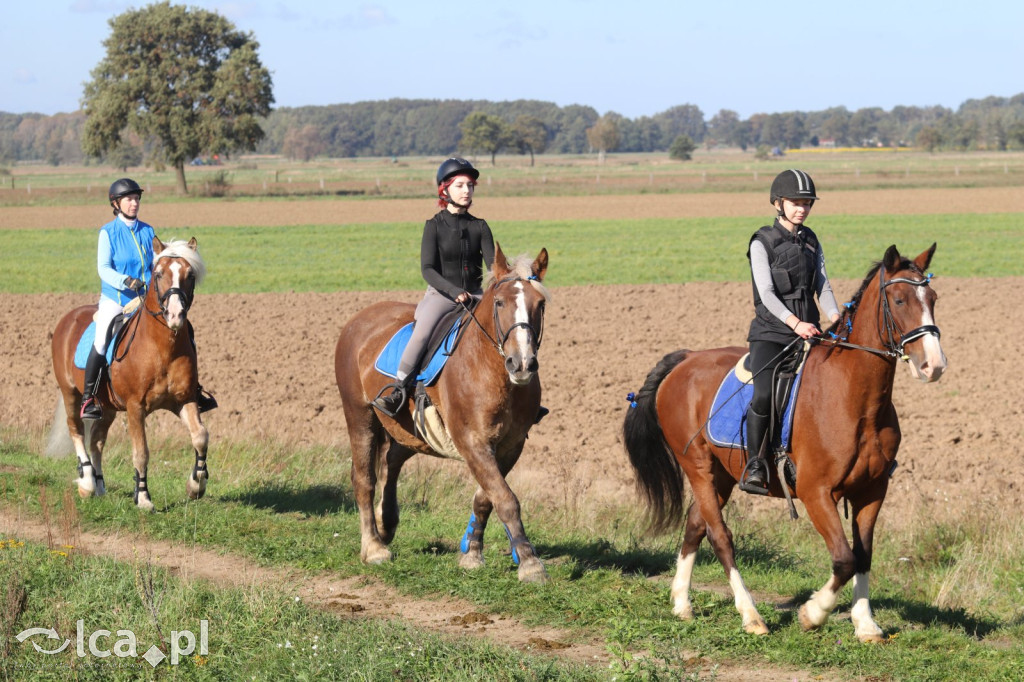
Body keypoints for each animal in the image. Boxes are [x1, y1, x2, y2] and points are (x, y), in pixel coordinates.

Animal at [52, 238, 212, 509]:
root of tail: (68, 318)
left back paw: (99, 484)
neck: (162, 347)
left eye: (190, 275)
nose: (175, 315)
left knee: (96, 440)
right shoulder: (135, 407)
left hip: (107, 406)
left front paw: (196, 485)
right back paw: (87, 483)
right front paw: (144, 497)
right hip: (70, 393)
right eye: (158, 274)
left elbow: (200, 436)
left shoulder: (184, 399)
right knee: (76, 430)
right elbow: (141, 452)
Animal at [337, 241, 552, 581]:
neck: (492, 372)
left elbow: (486, 497)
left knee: (391, 461)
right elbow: (505, 499)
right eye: (500, 302)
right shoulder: (472, 441)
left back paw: (387, 523)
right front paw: (530, 563)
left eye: (540, 304)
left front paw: (472, 553)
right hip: (360, 416)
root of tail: (358, 320)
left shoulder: (510, 445)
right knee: (364, 478)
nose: (522, 363)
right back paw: (374, 547)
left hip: (410, 431)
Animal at [618, 242, 946, 638]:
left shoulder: (872, 490)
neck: (857, 400)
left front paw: (866, 624)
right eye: (898, 300)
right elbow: (844, 559)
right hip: (697, 467)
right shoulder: (815, 491)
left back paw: (682, 603)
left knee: (696, 525)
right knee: (720, 536)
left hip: (722, 474)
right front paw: (813, 613)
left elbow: (863, 556)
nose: (933, 365)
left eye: (933, 298)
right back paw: (751, 616)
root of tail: (686, 360)